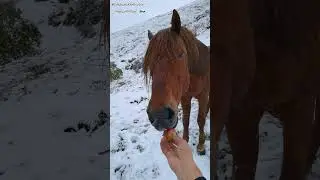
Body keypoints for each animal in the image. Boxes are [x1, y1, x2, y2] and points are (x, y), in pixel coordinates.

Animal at [143, 9, 210, 154]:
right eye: (150, 63)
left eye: (180, 54)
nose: (160, 115)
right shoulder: (185, 97)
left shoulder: (203, 95)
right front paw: (185, 140)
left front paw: (201, 145)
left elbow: (200, 119)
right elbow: (186, 120)